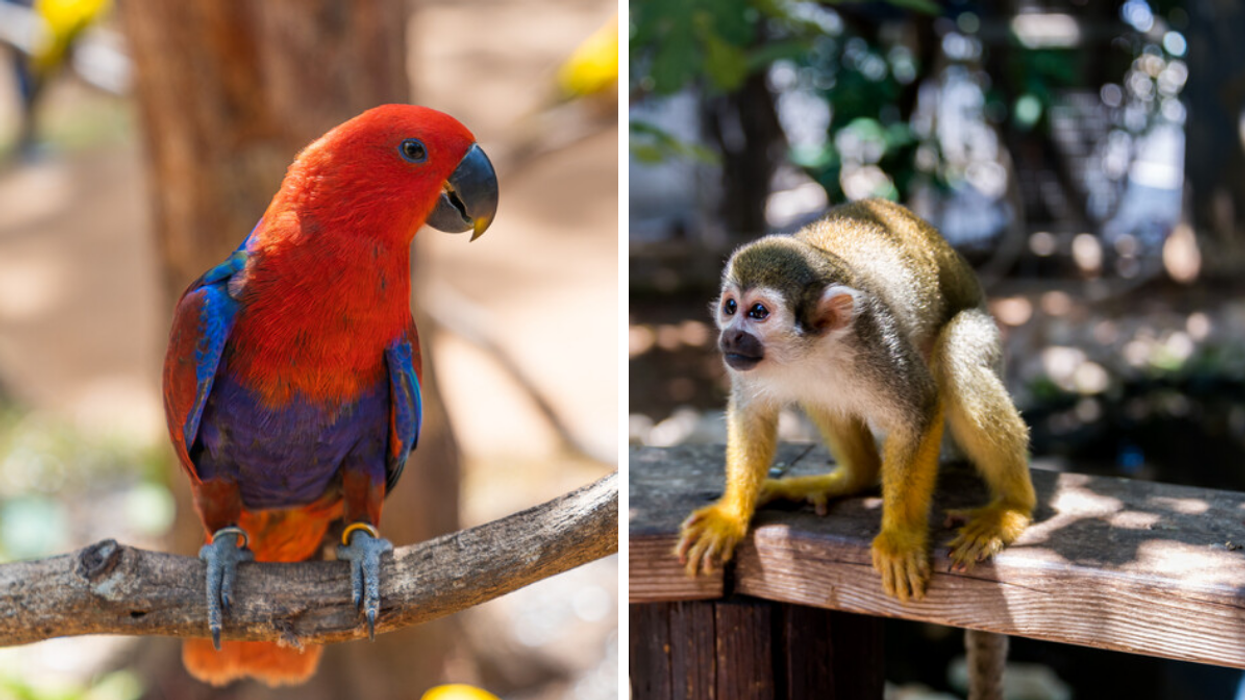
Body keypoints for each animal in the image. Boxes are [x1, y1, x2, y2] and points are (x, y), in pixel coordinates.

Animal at [675, 198, 1035, 602]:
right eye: (730, 306)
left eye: (757, 312)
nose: (731, 337)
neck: (810, 350)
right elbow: (751, 415)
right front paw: (730, 516)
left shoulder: (877, 341)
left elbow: (920, 408)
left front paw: (900, 538)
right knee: (820, 395)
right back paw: (855, 478)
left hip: (988, 336)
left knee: (955, 355)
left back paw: (1011, 506)